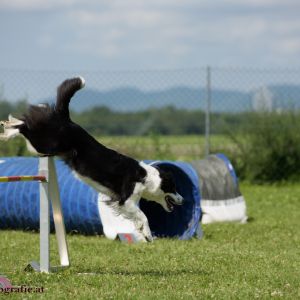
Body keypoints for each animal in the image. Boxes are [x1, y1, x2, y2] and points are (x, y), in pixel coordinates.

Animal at [0, 77, 183, 241]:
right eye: (173, 187)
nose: (183, 200)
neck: (146, 177)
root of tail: (67, 119)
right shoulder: (126, 199)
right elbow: (143, 215)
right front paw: (148, 235)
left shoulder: (121, 202)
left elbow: (137, 216)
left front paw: (144, 233)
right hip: (45, 145)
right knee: (25, 125)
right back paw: (7, 129)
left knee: (27, 120)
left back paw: (7, 127)